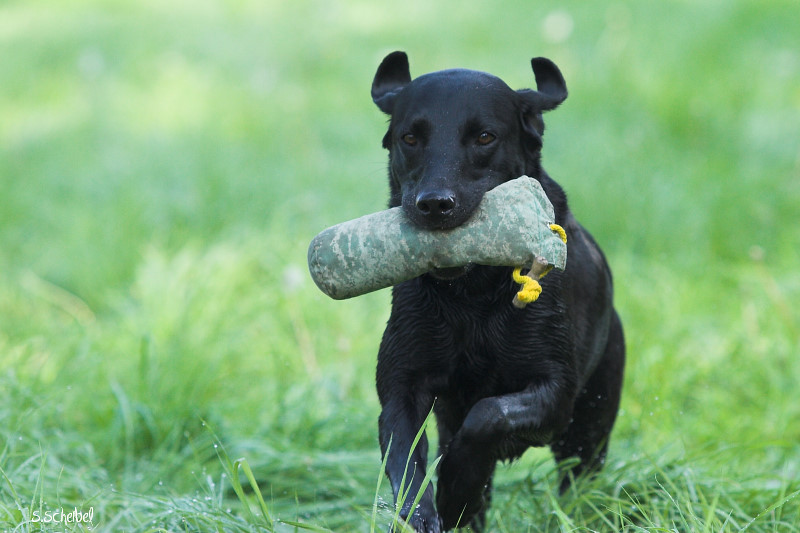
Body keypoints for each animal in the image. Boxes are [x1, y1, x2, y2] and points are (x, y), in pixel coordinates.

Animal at [368, 51, 624, 532]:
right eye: (410, 138)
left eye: (485, 136)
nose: (434, 204)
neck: (471, 298)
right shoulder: (401, 385)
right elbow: (405, 457)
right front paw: (427, 510)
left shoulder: (555, 392)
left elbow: (488, 415)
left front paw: (455, 485)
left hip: (591, 424)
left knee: (579, 479)